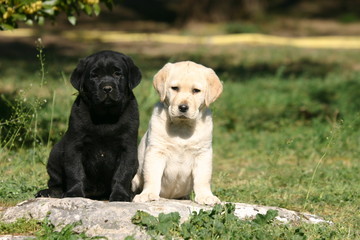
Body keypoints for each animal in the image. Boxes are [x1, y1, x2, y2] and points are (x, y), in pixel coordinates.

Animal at [36, 51, 141, 202]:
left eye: (117, 73)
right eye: (94, 75)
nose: (107, 88)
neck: (105, 117)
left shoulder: (128, 148)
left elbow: (123, 173)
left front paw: (120, 195)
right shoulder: (75, 145)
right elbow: (75, 171)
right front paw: (74, 193)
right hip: (55, 154)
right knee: (55, 182)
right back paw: (49, 192)